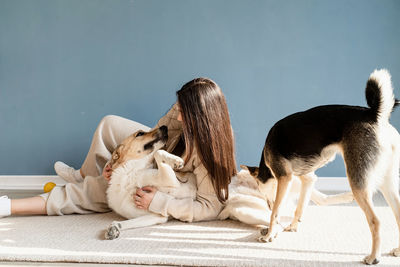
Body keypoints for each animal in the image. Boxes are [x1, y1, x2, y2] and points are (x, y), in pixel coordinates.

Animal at [250, 69, 400, 266]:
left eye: (261, 192)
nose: (267, 204)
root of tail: (374, 115)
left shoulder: (285, 178)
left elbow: (276, 212)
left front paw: (269, 235)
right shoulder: (308, 179)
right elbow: (300, 207)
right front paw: (293, 226)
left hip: (358, 182)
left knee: (376, 221)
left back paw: (373, 257)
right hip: (387, 183)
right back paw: (397, 250)